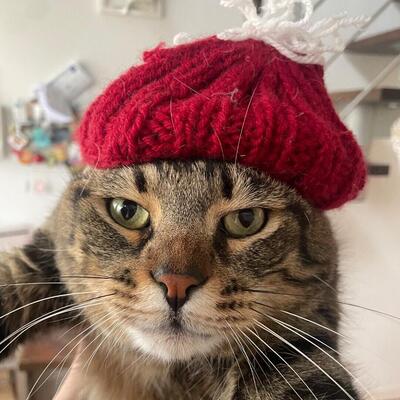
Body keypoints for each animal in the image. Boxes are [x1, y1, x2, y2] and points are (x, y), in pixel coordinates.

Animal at [0, 160, 359, 399]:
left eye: (246, 219)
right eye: (126, 211)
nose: (175, 284)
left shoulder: (302, 338)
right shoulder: (47, 247)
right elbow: (15, 271)